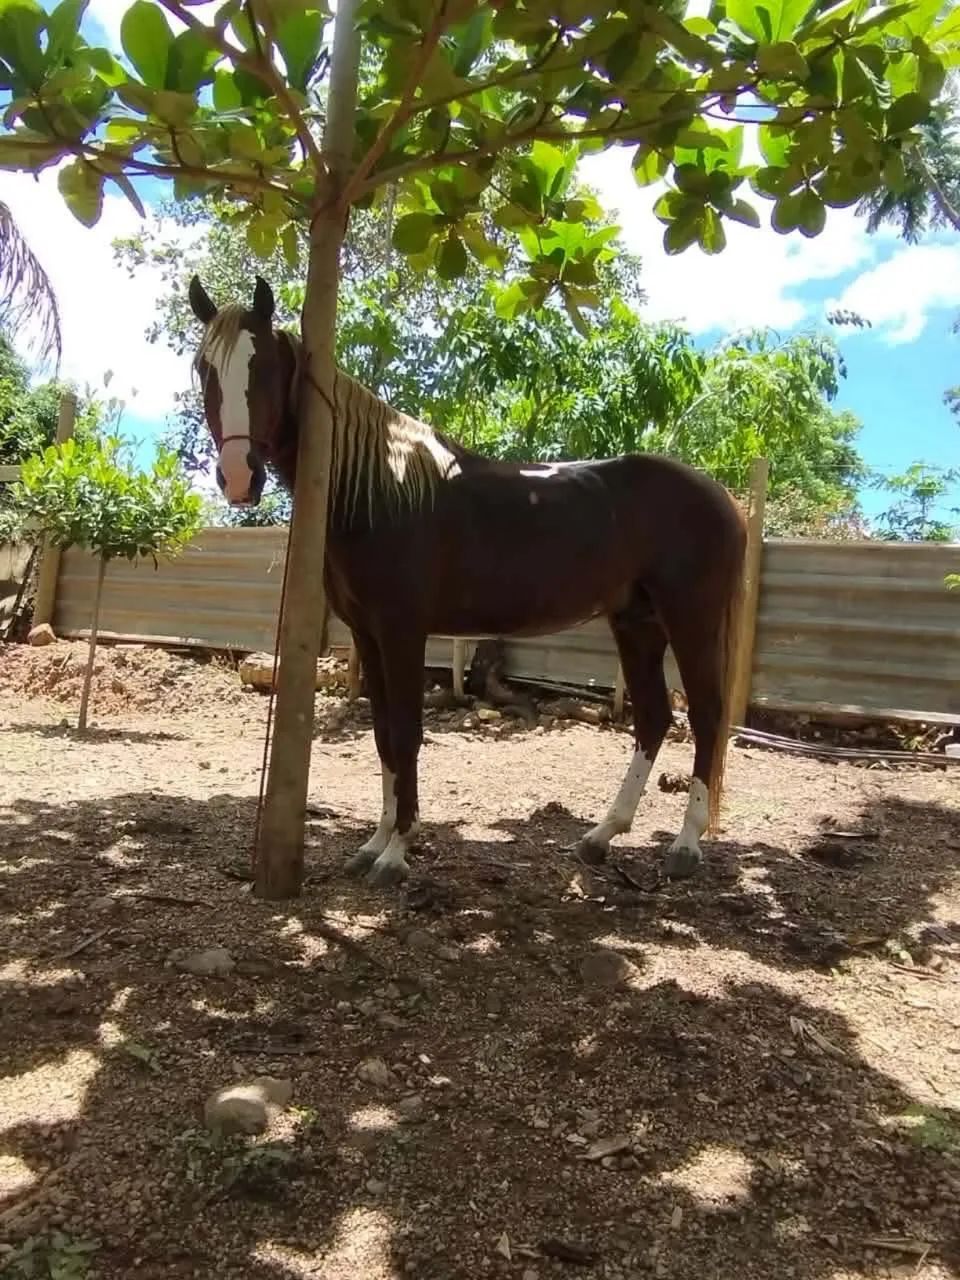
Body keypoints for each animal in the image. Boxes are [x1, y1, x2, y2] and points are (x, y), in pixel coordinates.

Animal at [188, 273, 747, 888]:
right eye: (204, 367)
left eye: (264, 366)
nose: (239, 477)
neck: (381, 489)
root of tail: (723, 498)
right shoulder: (367, 634)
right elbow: (382, 734)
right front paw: (374, 841)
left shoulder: (403, 632)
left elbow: (406, 733)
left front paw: (395, 853)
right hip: (636, 622)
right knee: (653, 718)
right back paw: (601, 836)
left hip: (690, 619)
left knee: (706, 716)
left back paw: (685, 845)